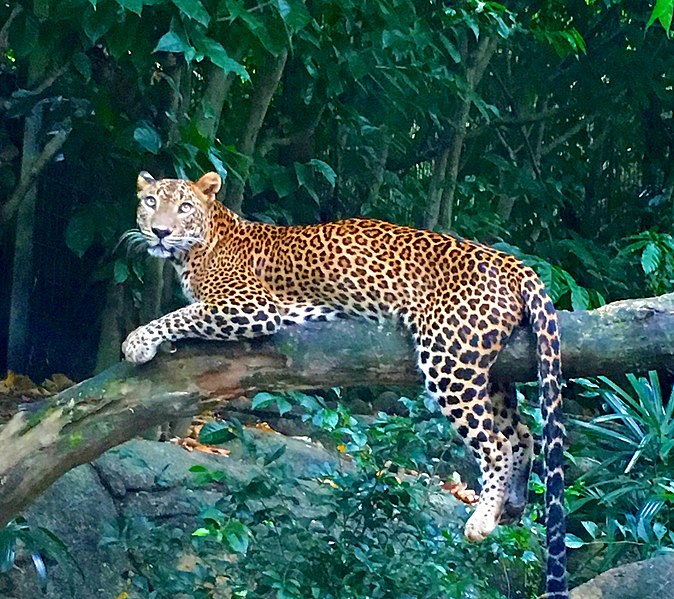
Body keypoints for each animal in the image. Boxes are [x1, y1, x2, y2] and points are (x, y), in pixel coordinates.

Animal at [122, 170, 568, 599]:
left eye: (183, 206)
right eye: (151, 202)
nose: (160, 231)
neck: (200, 244)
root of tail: (512, 262)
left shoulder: (250, 307)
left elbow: (181, 314)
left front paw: (137, 342)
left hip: (450, 360)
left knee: (495, 444)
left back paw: (483, 519)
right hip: (492, 372)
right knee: (522, 434)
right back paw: (512, 504)